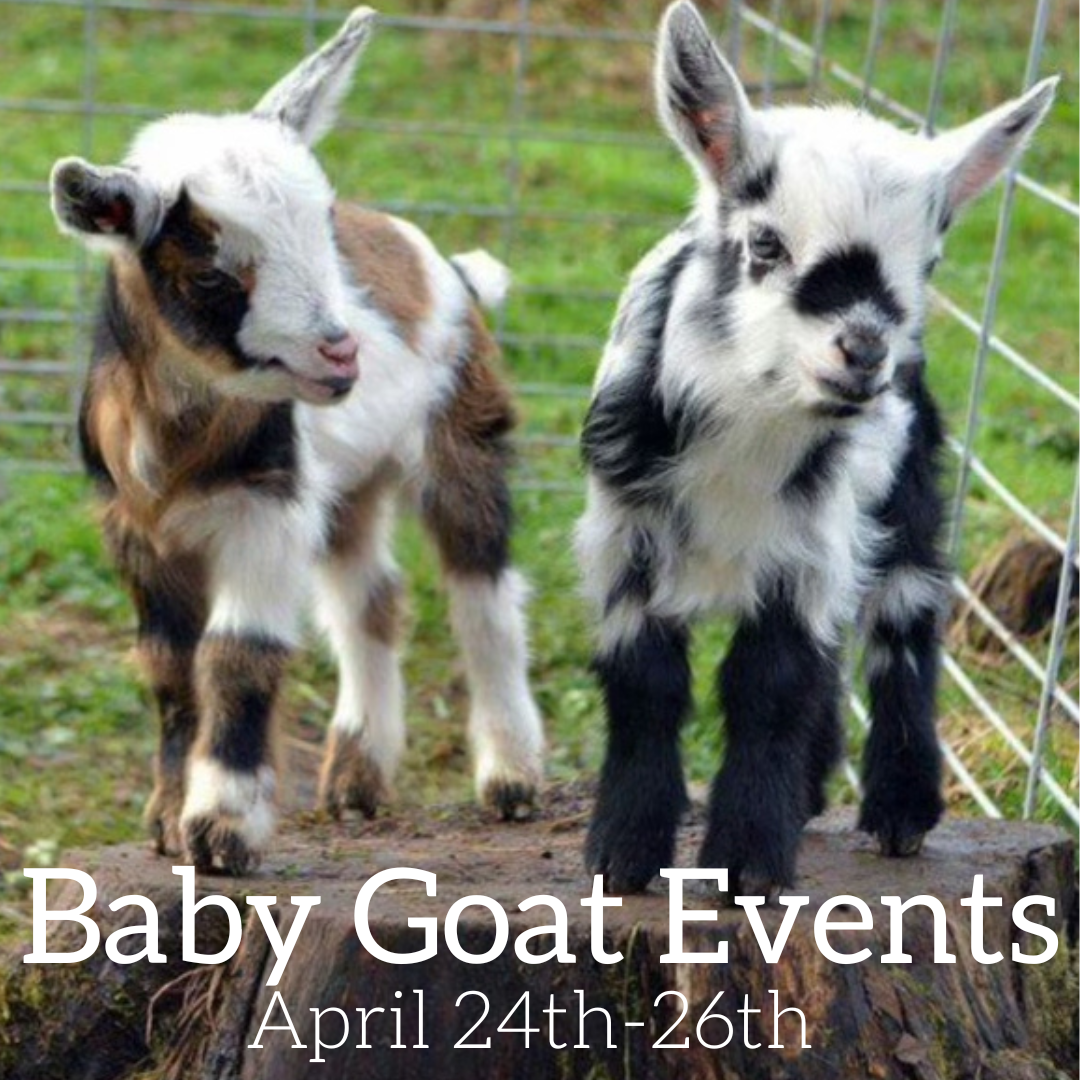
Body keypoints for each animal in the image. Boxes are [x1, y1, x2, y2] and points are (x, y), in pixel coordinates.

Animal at [49, 7, 544, 875]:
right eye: (210, 273)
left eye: (322, 230)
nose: (341, 353)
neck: (182, 440)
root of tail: (446, 265)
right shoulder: (134, 526)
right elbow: (168, 665)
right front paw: (166, 818)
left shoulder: (266, 505)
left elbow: (235, 652)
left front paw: (223, 827)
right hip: (349, 485)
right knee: (370, 600)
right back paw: (356, 780)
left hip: (463, 433)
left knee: (484, 595)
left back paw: (511, 778)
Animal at [577, 0, 1056, 895]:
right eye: (765, 244)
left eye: (929, 262)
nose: (864, 350)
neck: (748, 437)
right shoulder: (625, 533)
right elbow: (647, 680)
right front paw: (624, 851)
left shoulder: (808, 542)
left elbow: (770, 685)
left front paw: (749, 862)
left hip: (906, 493)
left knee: (905, 617)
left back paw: (901, 810)